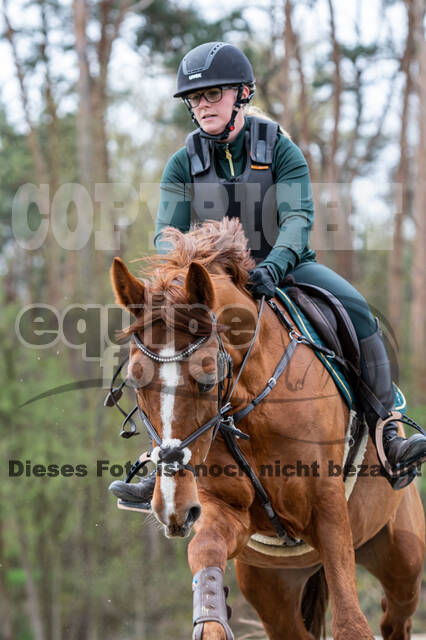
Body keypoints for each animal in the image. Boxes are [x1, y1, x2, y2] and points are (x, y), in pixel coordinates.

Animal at [111, 220, 424, 640]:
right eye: (135, 381)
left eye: (208, 378)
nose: (172, 507)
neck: (249, 411)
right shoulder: (224, 510)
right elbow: (204, 551)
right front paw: (211, 618)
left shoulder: (328, 508)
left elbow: (351, 623)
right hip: (272, 582)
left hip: (401, 555)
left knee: (395, 615)